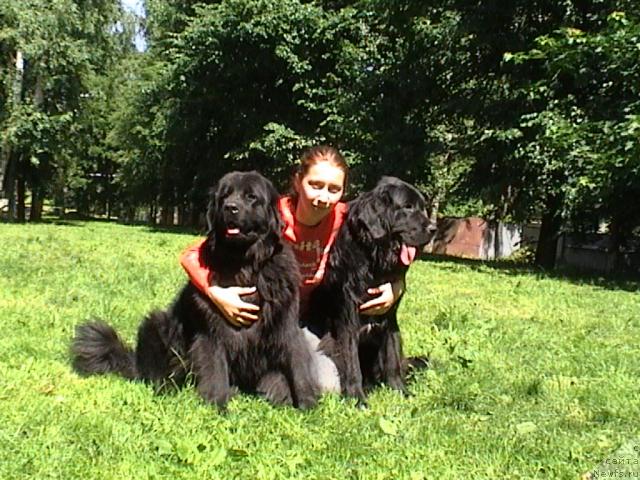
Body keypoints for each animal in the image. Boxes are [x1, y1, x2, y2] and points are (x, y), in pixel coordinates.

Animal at [72, 172, 320, 408]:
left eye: (251, 196)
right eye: (224, 196)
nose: (230, 207)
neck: (244, 265)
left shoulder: (285, 325)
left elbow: (297, 367)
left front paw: (306, 404)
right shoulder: (211, 332)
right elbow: (215, 371)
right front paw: (217, 406)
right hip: (156, 325)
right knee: (155, 373)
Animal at [308, 176, 438, 404]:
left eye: (422, 207)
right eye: (407, 207)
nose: (434, 228)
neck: (373, 260)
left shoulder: (390, 318)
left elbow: (392, 360)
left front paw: (400, 391)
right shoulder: (346, 320)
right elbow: (352, 365)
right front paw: (357, 399)